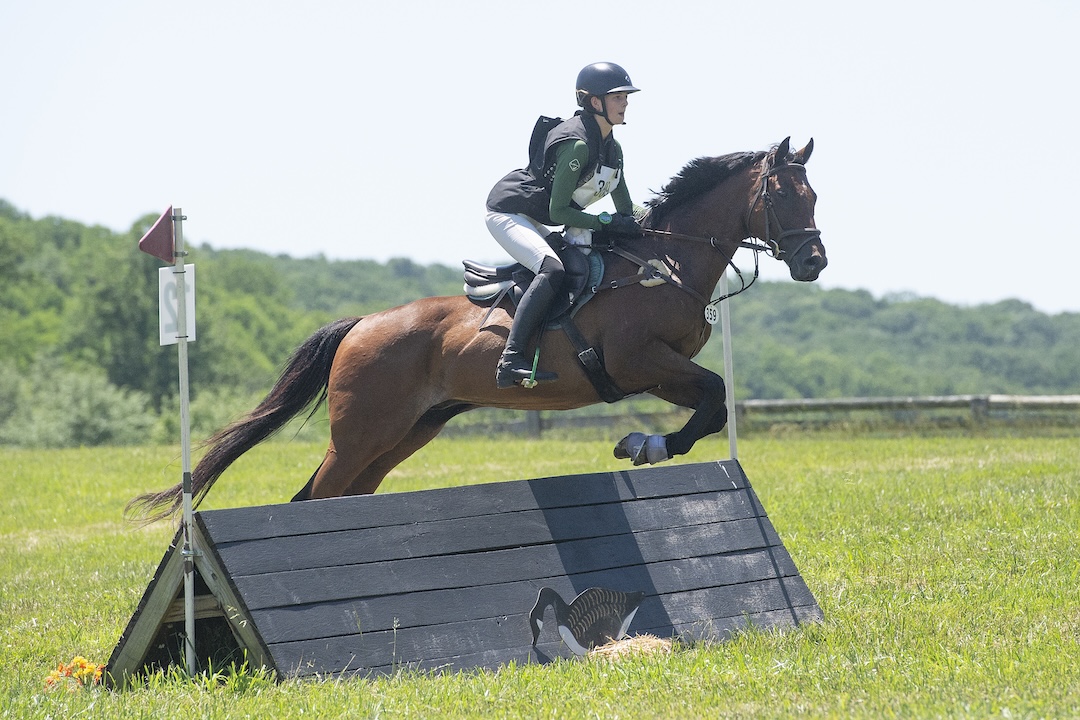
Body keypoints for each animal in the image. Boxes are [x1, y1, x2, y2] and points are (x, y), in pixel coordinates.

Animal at [129, 137, 826, 522]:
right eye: (782, 195)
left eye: (814, 196)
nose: (814, 262)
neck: (665, 262)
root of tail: (360, 326)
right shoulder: (639, 363)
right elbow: (713, 396)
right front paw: (643, 444)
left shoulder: (661, 369)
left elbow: (715, 404)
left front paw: (647, 444)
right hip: (360, 433)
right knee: (316, 497)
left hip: (405, 434)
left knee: (342, 494)